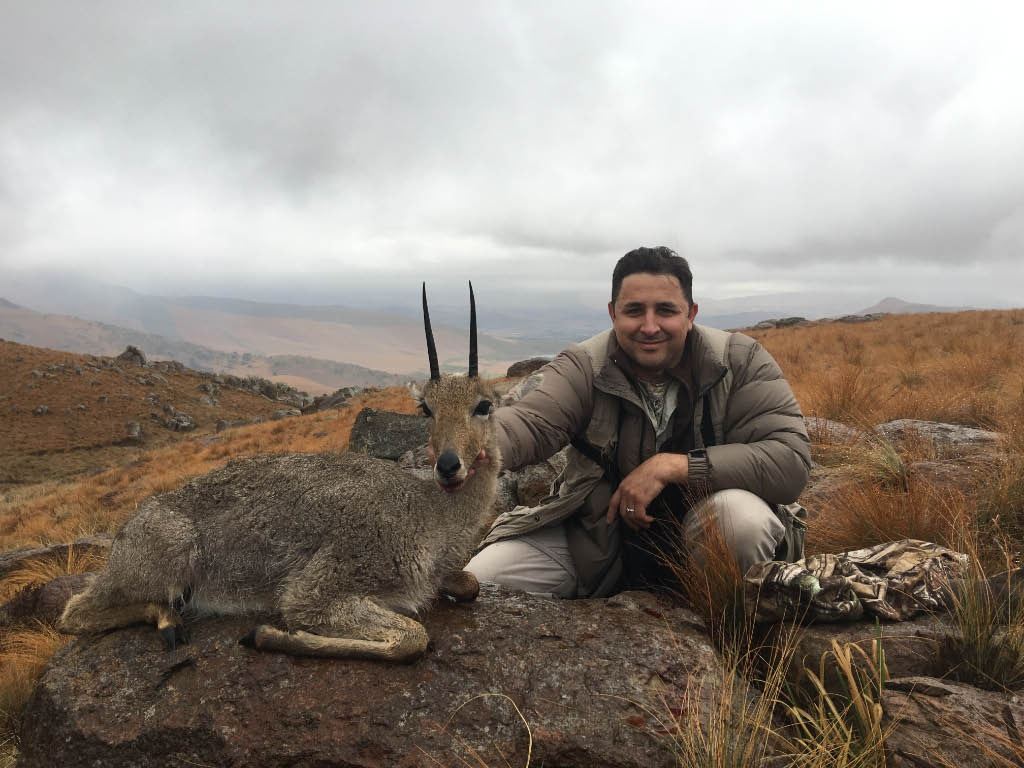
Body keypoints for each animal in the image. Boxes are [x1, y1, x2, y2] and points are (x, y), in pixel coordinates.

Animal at [59, 284, 502, 662]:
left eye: (484, 405)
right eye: (425, 408)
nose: (449, 465)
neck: (430, 514)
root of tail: (124, 532)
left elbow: (470, 585)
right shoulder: (320, 586)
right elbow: (413, 636)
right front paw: (268, 634)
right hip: (163, 559)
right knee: (74, 613)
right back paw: (168, 620)